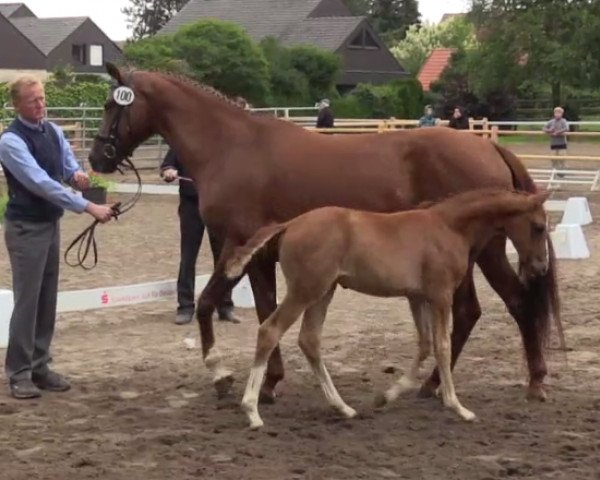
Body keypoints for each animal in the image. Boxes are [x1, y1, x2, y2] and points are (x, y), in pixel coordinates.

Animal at [225, 188, 548, 428]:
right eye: (538, 227)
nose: (541, 267)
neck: (448, 227)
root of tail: (290, 224)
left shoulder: (416, 297)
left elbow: (425, 345)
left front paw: (386, 396)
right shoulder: (440, 296)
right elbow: (442, 346)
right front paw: (457, 406)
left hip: (324, 292)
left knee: (309, 340)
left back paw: (343, 407)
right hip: (306, 291)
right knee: (270, 331)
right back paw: (252, 411)